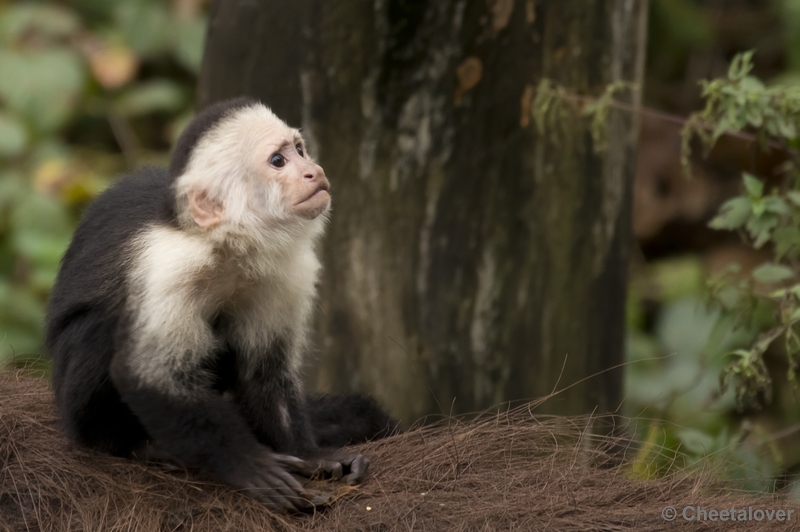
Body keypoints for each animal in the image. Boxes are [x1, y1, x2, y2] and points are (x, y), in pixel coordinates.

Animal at [45, 96, 396, 512]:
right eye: (278, 161)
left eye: (300, 149)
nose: (314, 171)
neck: (226, 244)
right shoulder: (167, 264)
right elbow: (146, 374)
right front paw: (248, 464)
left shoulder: (284, 271)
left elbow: (264, 371)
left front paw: (312, 455)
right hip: (72, 406)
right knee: (103, 327)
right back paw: (128, 443)